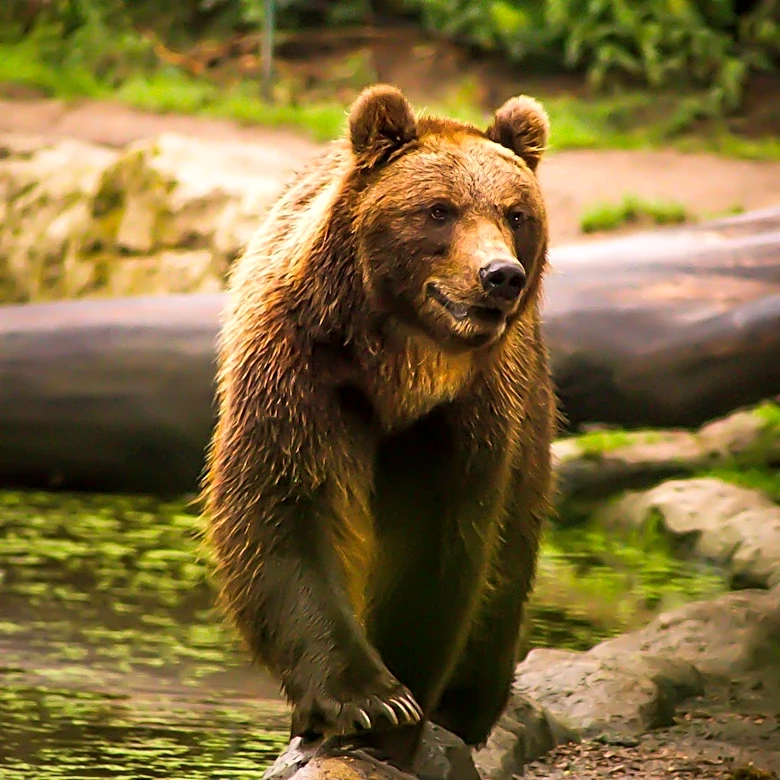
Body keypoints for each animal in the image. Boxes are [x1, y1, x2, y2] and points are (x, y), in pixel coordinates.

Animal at [202, 83, 557, 767]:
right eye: (440, 210)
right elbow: (286, 509)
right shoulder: (299, 370)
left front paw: (406, 702)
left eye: (514, 214)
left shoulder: (468, 414)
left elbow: (439, 543)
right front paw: (369, 700)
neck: (402, 368)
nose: (500, 275)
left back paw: (470, 704)